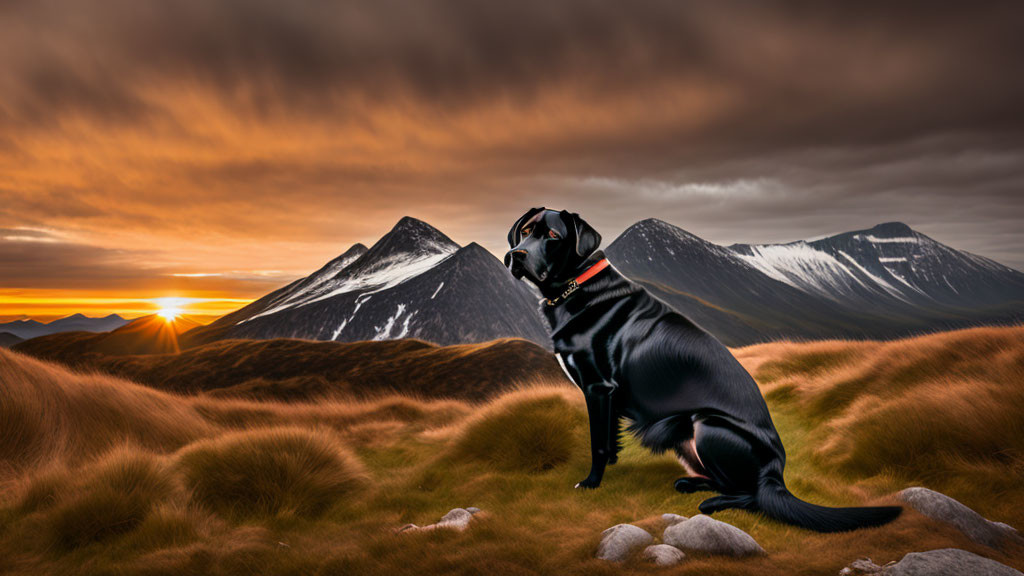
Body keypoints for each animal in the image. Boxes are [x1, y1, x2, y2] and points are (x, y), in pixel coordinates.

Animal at [507, 204, 901, 528]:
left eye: (553, 236)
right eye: (524, 231)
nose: (515, 254)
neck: (577, 285)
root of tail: (777, 473)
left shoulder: (598, 387)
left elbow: (598, 444)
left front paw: (591, 483)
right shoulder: (604, 395)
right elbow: (608, 440)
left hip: (706, 424)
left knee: (753, 496)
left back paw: (712, 503)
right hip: (685, 435)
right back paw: (691, 483)